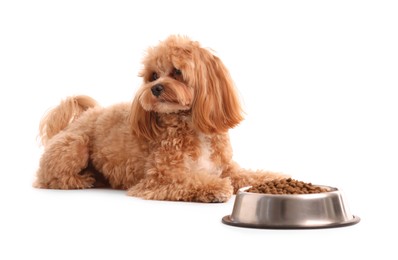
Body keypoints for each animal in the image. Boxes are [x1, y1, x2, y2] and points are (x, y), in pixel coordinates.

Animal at [35, 34, 286, 202]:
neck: (191, 126)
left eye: (177, 72)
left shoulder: (226, 168)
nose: (155, 88)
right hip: (75, 145)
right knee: (50, 178)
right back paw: (82, 180)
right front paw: (216, 188)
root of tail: (77, 120)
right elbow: (191, 181)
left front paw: (275, 177)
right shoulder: (160, 178)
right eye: (153, 75)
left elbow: (249, 174)